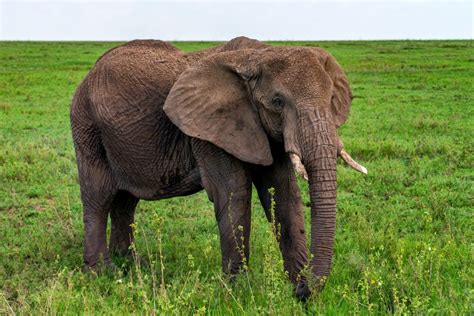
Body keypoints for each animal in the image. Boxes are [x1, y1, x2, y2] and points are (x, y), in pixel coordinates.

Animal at [70, 37, 366, 298]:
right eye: (278, 103)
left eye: (331, 99)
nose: (304, 289)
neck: (258, 55)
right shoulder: (209, 131)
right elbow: (234, 193)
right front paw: (238, 290)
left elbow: (284, 193)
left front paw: (297, 286)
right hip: (87, 127)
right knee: (99, 196)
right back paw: (102, 272)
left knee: (126, 200)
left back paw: (132, 264)